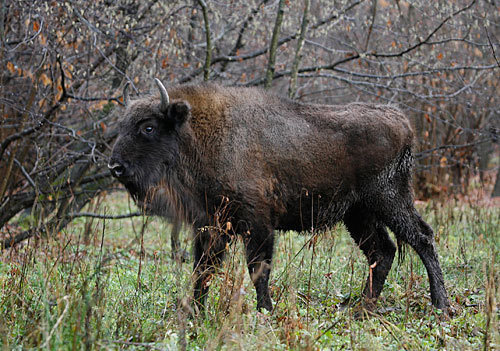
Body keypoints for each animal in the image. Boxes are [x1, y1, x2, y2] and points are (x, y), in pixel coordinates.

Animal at [109, 80, 450, 314]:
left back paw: (440, 305)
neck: (201, 132)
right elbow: (203, 270)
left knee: (421, 238)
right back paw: (360, 305)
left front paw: (265, 310)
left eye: (149, 127)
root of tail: (402, 121)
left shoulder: (257, 224)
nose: (115, 166)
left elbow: (258, 269)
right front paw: (195, 312)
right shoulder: (211, 226)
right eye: (122, 125)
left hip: (389, 200)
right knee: (382, 251)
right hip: (358, 214)